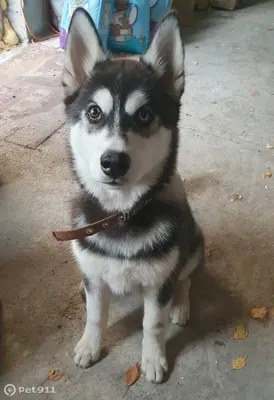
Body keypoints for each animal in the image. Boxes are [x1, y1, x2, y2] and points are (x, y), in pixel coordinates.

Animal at [62, 7, 203, 382]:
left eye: (144, 115)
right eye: (94, 112)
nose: (113, 162)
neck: (120, 214)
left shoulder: (158, 283)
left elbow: (152, 323)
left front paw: (153, 358)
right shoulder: (96, 277)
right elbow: (95, 314)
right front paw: (90, 345)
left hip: (195, 245)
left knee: (186, 277)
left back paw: (182, 305)